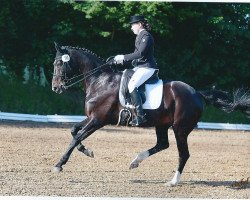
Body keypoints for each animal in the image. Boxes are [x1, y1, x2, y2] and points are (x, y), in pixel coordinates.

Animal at [51, 42, 249, 186]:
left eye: (60, 63)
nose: (55, 88)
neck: (100, 81)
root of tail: (197, 93)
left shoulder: (98, 120)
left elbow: (76, 137)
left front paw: (59, 165)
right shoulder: (92, 117)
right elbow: (73, 131)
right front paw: (88, 151)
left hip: (180, 129)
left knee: (183, 154)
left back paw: (173, 181)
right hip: (162, 124)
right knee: (162, 144)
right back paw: (135, 161)